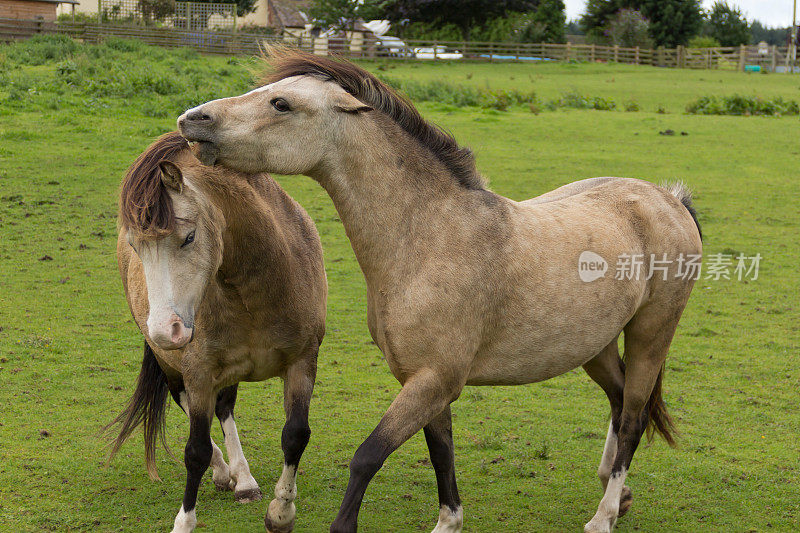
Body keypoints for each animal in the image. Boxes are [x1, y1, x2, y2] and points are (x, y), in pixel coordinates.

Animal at [108, 132, 326, 532]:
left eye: (189, 237)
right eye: (135, 245)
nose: (165, 330)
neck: (255, 288)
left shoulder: (304, 361)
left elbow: (295, 435)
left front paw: (281, 510)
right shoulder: (198, 373)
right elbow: (195, 450)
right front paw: (184, 521)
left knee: (225, 409)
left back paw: (244, 480)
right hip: (175, 368)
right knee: (194, 412)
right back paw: (226, 473)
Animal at [180, 50, 700, 532]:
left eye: (281, 103)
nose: (192, 120)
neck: (430, 236)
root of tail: (669, 199)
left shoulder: (435, 379)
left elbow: (368, 455)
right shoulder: (422, 380)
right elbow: (440, 451)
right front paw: (449, 520)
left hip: (652, 333)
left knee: (633, 418)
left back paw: (603, 515)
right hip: (596, 344)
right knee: (618, 401)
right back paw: (616, 488)